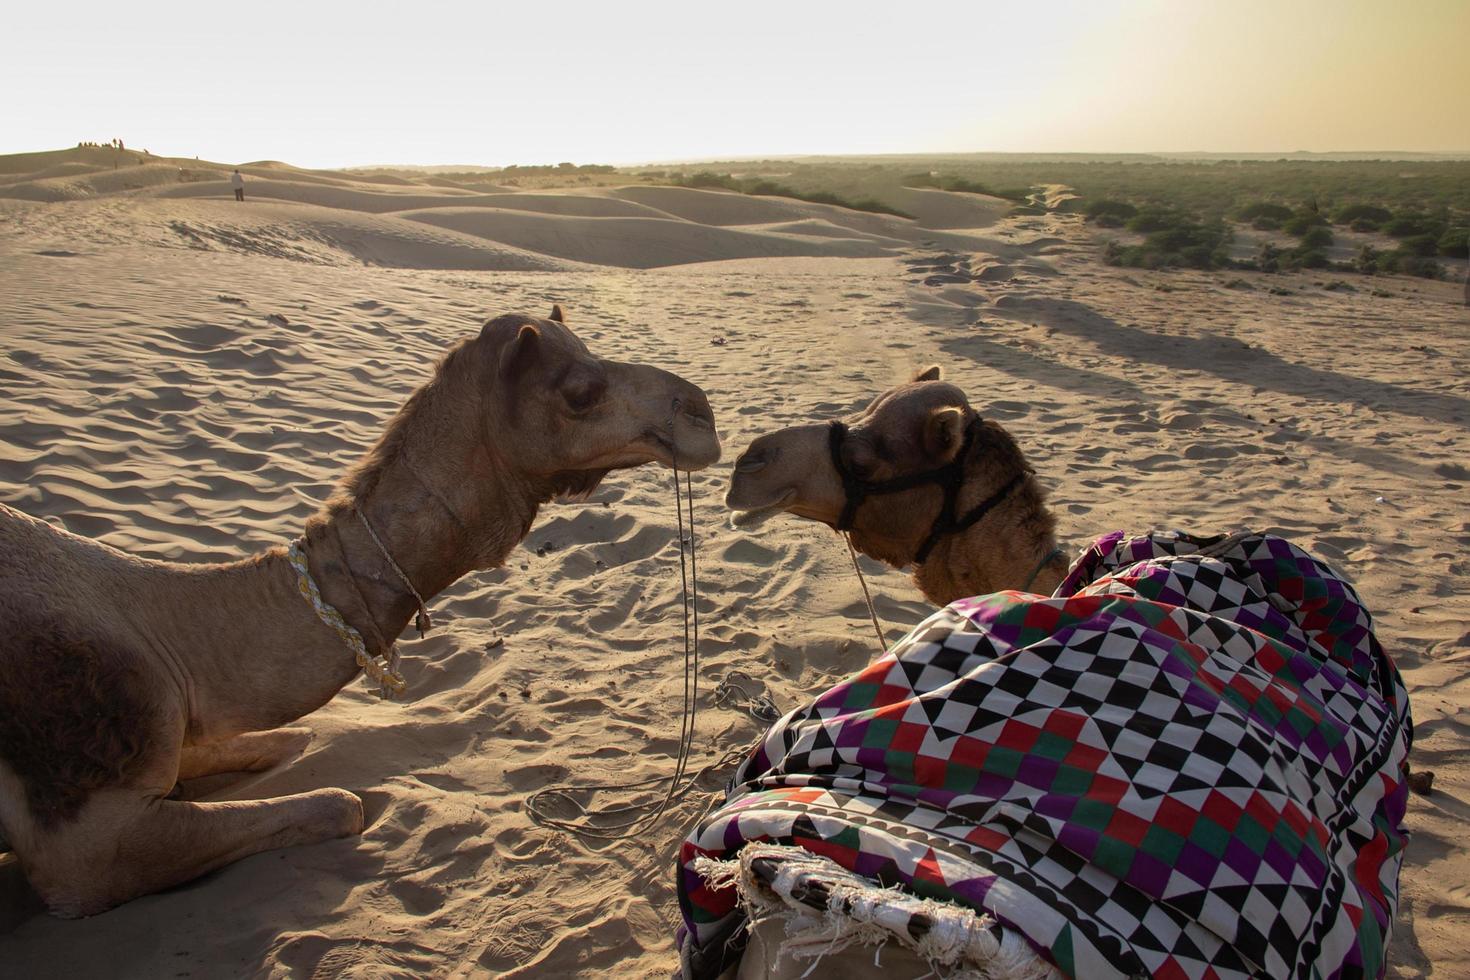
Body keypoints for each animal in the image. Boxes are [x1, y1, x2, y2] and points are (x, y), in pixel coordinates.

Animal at [0, 307, 717, 922]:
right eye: (580, 391)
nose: (702, 412)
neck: (170, 639)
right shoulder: (88, 846)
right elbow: (342, 804)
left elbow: (292, 742)